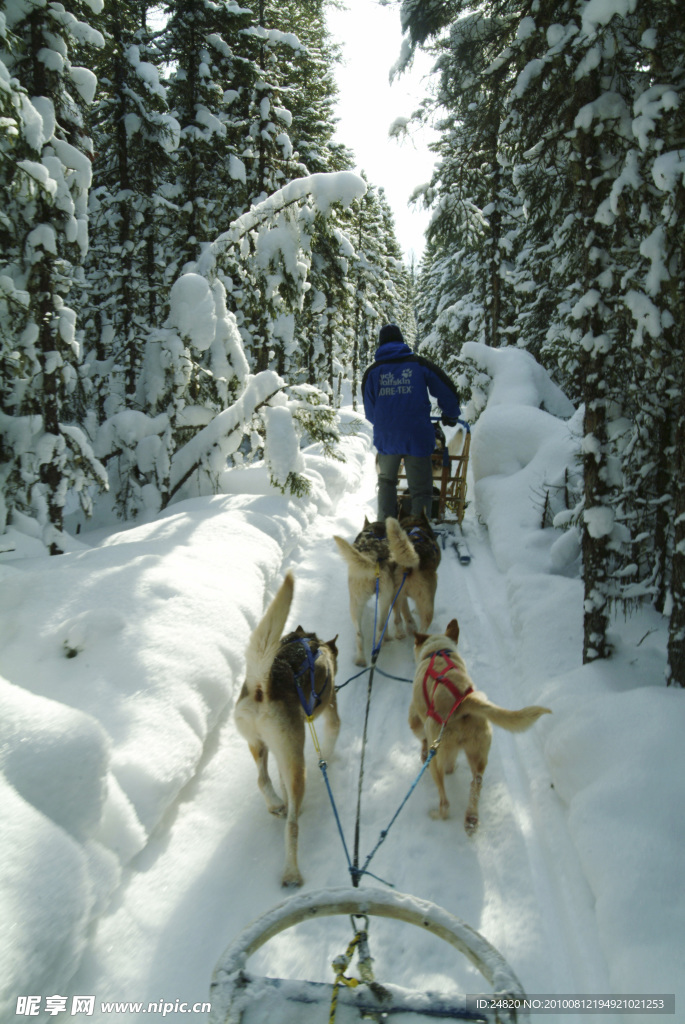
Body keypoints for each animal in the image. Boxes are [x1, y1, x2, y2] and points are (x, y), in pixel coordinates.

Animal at [235, 573, 339, 884]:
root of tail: (262, 686)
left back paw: (276, 804)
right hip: (297, 762)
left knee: (263, 780)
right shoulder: (331, 708)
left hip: (262, 745)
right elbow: (333, 735)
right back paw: (292, 871)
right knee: (292, 825)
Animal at [405, 614, 548, 831]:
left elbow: (419, 736)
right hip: (478, 752)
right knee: (476, 782)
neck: (437, 651)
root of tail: (464, 702)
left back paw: (437, 814)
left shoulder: (416, 718)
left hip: (436, 757)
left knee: (445, 801)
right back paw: (471, 819)